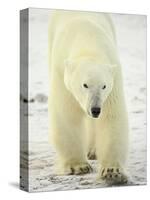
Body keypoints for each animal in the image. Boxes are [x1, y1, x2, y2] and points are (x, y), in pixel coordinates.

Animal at [48, 10, 129, 184]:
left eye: (103, 86)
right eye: (85, 85)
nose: (96, 109)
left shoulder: (113, 79)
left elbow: (111, 116)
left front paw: (112, 172)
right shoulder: (61, 74)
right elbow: (66, 115)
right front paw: (78, 166)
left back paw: (93, 151)